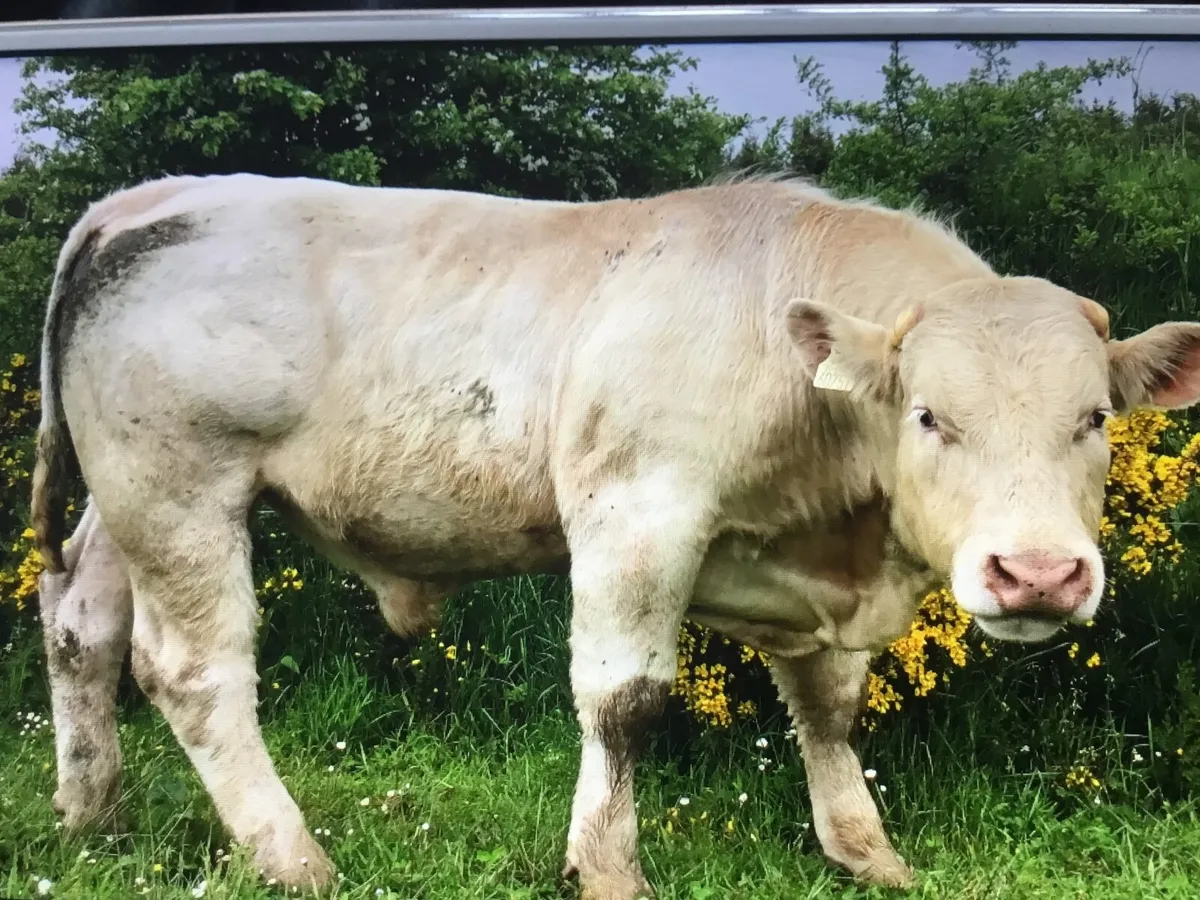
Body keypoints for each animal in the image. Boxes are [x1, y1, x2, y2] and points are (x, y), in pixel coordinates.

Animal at [30, 172, 1200, 898]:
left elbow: (828, 709)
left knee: (81, 625)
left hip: (120, 501)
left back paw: (94, 815)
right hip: (181, 487)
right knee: (194, 670)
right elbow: (623, 702)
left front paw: (865, 852)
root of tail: (148, 197)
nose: (1038, 574)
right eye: (928, 416)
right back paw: (291, 856)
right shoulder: (638, 513)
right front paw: (605, 865)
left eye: (1095, 418)